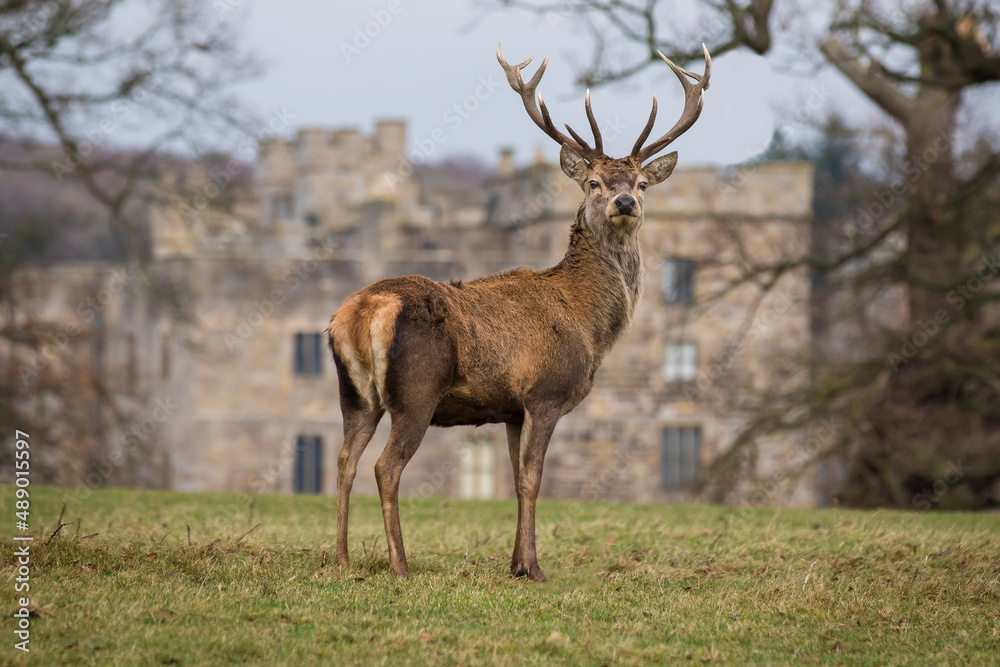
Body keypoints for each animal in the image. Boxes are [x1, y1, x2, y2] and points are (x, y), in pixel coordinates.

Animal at [327, 43, 711, 582]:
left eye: (640, 182)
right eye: (594, 182)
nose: (624, 202)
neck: (587, 324)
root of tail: (363, 310)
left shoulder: (509, 408)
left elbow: (512, 478)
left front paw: (513, 564)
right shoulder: (546, 393)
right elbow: (533, 479)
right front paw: (534, 567)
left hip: (355, 394)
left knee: (344, 461)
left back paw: (340, 559)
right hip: (416, 390)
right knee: (386, 466)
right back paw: (399, 564)